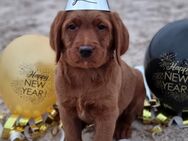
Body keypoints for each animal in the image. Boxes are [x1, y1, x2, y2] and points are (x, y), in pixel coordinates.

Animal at [50, 10, 145, 141]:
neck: (85, 73)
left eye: (101, 26)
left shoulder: (107, 114)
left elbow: (102, 136)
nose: (85, 50)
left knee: (129, 115)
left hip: (139, 89)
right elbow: (72, 135)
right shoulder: (66, 110)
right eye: (72, 26)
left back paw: (122, 128)